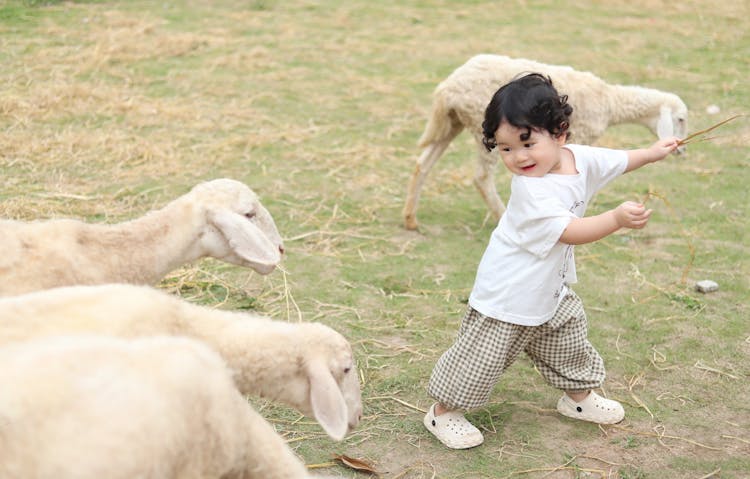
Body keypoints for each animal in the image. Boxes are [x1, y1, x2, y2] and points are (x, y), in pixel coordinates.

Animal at [402, 53, 692, 230]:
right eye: (680, 119)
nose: (682, 149)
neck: (611, 102)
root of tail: (448, 88)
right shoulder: (582, 135)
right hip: (483, 130)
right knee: (481, 177)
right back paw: (500, 215)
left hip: (453, 122)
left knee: (423, 164)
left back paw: (411, 219)